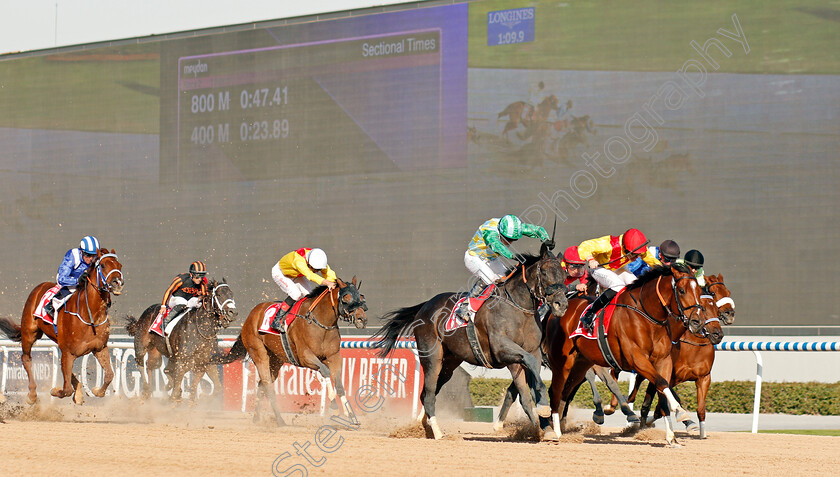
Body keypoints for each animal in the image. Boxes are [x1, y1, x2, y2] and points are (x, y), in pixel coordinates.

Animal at [0, 249, 123, 402]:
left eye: (120, 265)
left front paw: (95, 390)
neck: (90, 316)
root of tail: (39, 287)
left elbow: (109, 375)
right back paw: (32, 395)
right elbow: (66, 390)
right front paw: (55, 390)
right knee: (26, 358)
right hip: (29, 332)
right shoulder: (68, 352)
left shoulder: (99, 348)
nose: (118, 282)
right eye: (104, 265)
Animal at [212, 278, 366, 426]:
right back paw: (280, 420)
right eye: (346, 297)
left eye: (361, 297)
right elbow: (325, 371)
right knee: (267, 385)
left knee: (262, 385)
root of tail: (251, 316)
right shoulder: (306, 357)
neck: (320, 322)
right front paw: (333, 406)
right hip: (258, 352)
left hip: (275, 360)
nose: (362, 319)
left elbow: (339, 384)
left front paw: (351, 415)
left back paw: (257, 418)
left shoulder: (334, 357)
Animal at [372, 245, 564, 438]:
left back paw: (424, 426)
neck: (518, 308)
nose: (561, 304)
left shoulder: (532, 352)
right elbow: (525, 389)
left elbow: (528, 386)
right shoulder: (503, 350)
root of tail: (425, 306)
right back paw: (437, 432)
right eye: (545, 272)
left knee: (426, 394)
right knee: (429, 395)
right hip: (432, 359)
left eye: (563, 274)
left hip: (449, 364)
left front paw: (545, 425)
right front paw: (541, 418)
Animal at [544, 262, 708, 444]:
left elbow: (662, 388)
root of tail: (557, 311)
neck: (647, 316)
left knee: (566, 392)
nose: (698, 321)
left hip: (581, 364)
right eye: (682, 290)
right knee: (555, 391)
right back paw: (556, 432)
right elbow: (661, 383)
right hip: (562, 362)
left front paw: (671, 436)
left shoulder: (663, 361)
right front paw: (679, 410)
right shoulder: (637, 359)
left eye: (699, 291)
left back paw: (561, 428)